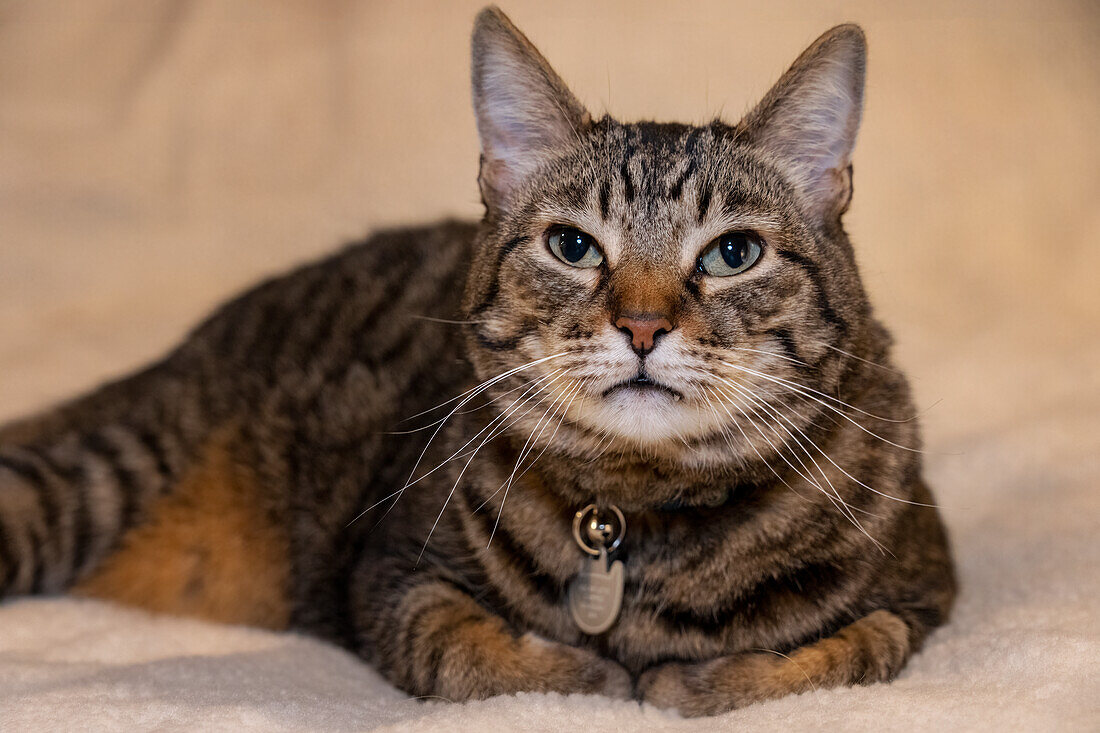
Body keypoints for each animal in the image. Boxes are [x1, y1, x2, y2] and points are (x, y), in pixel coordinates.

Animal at [0, 5, 954, 713]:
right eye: (573, 245)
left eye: (733, 254)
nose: (643, 326)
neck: (640, 524)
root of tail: (185, 348)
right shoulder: (392, 574)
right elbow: (468, 650)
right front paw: (599, 675)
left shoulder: (922, 594)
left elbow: (836, 652)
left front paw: (689, 680)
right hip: (99, 478)